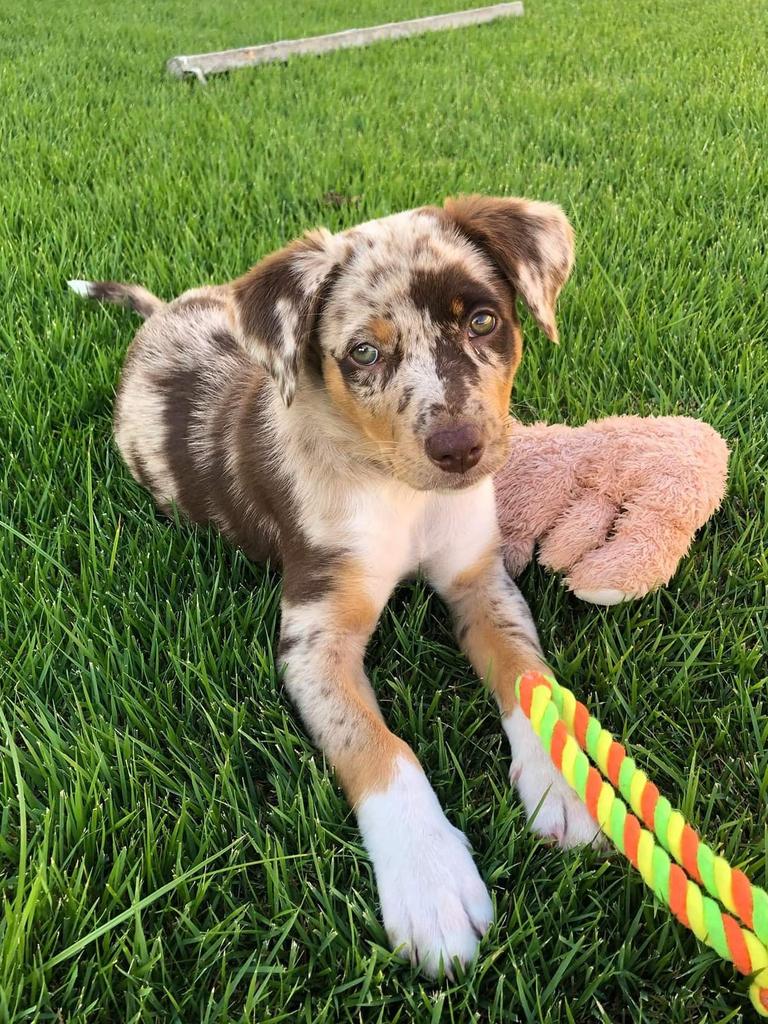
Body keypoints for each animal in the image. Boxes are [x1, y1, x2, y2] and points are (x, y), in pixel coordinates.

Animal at [70, 197, 602, 974]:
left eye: (482, 321)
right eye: (363, 354)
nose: (460, 450)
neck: (397, 491)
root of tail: (163, 313)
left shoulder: (480, 580)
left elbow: (527, 674)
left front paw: (565, 781)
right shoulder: (314, 634)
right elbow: (378, 747)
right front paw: (430, 882)